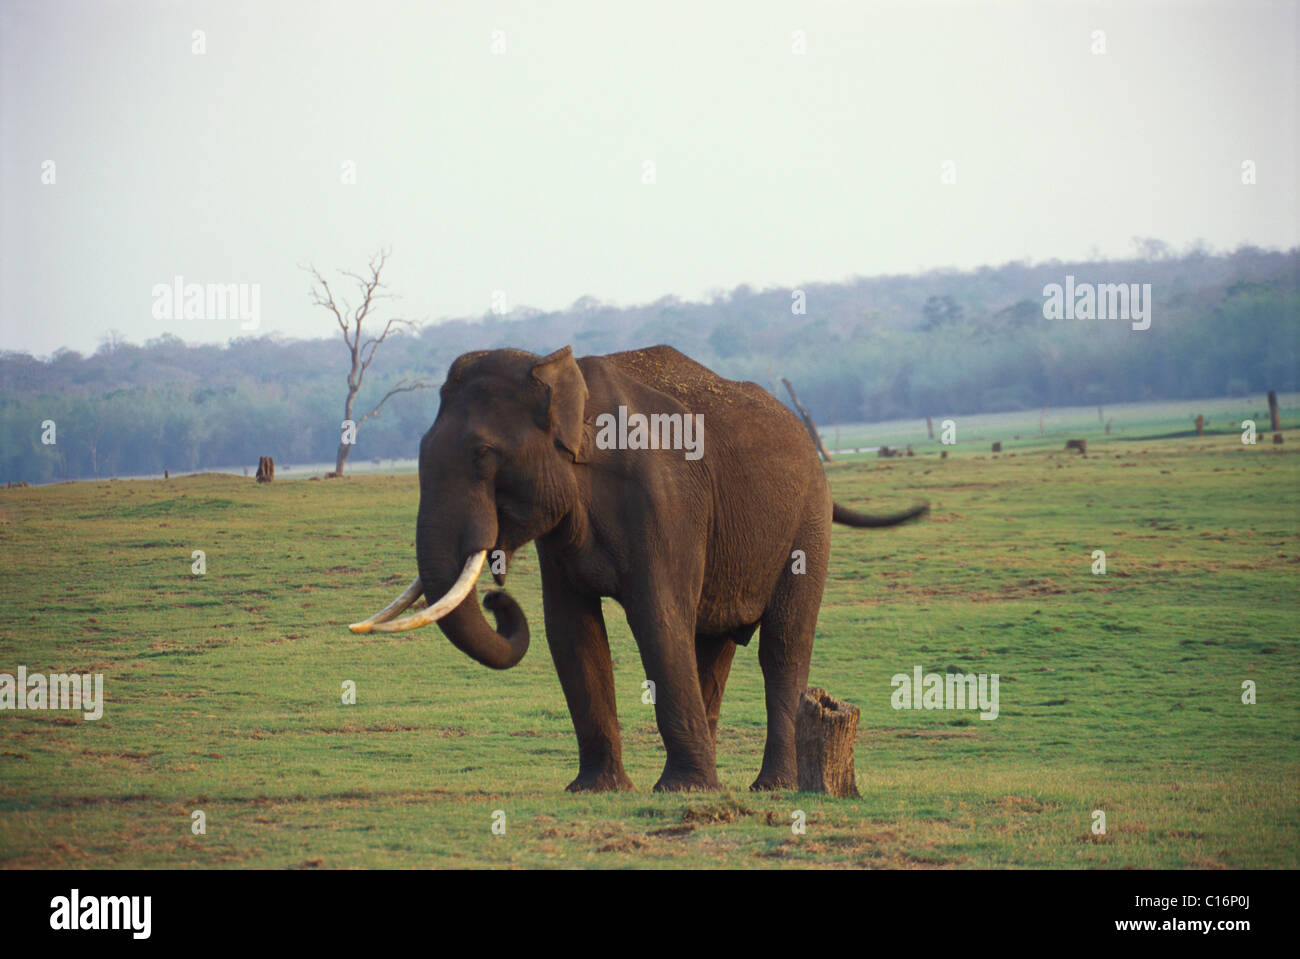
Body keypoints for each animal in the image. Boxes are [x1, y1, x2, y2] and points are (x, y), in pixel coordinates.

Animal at [351, 340, 930, 790]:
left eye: (482, 454)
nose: (497, 595)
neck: (562, 377)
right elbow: (571, 629)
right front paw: (596, 790)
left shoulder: (665, 501)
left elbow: (658, 618)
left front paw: (678, 791)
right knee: (712, 644)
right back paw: (716, 777)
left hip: (807, 525)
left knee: (783, 644)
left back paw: (770, 787)